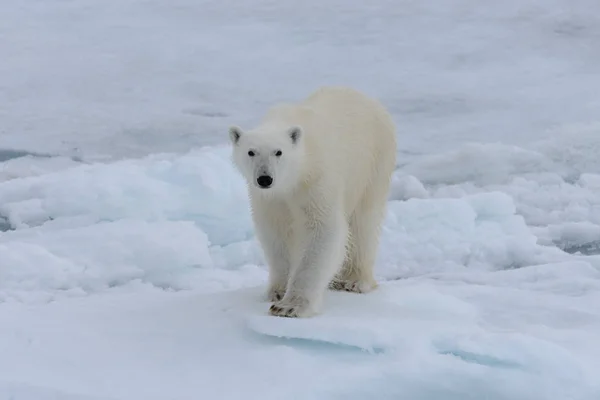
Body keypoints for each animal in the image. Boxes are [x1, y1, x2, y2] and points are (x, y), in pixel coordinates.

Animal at [227, 86, 396, 318]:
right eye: (251, 152)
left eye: (279, 152)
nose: (265, 178)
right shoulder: (270, 198)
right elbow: (275, 233)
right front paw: (277, 291)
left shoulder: (316, 180)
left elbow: (322, 229)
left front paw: (290, 306)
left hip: (373, 162)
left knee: (364, 221)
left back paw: (354, 281)